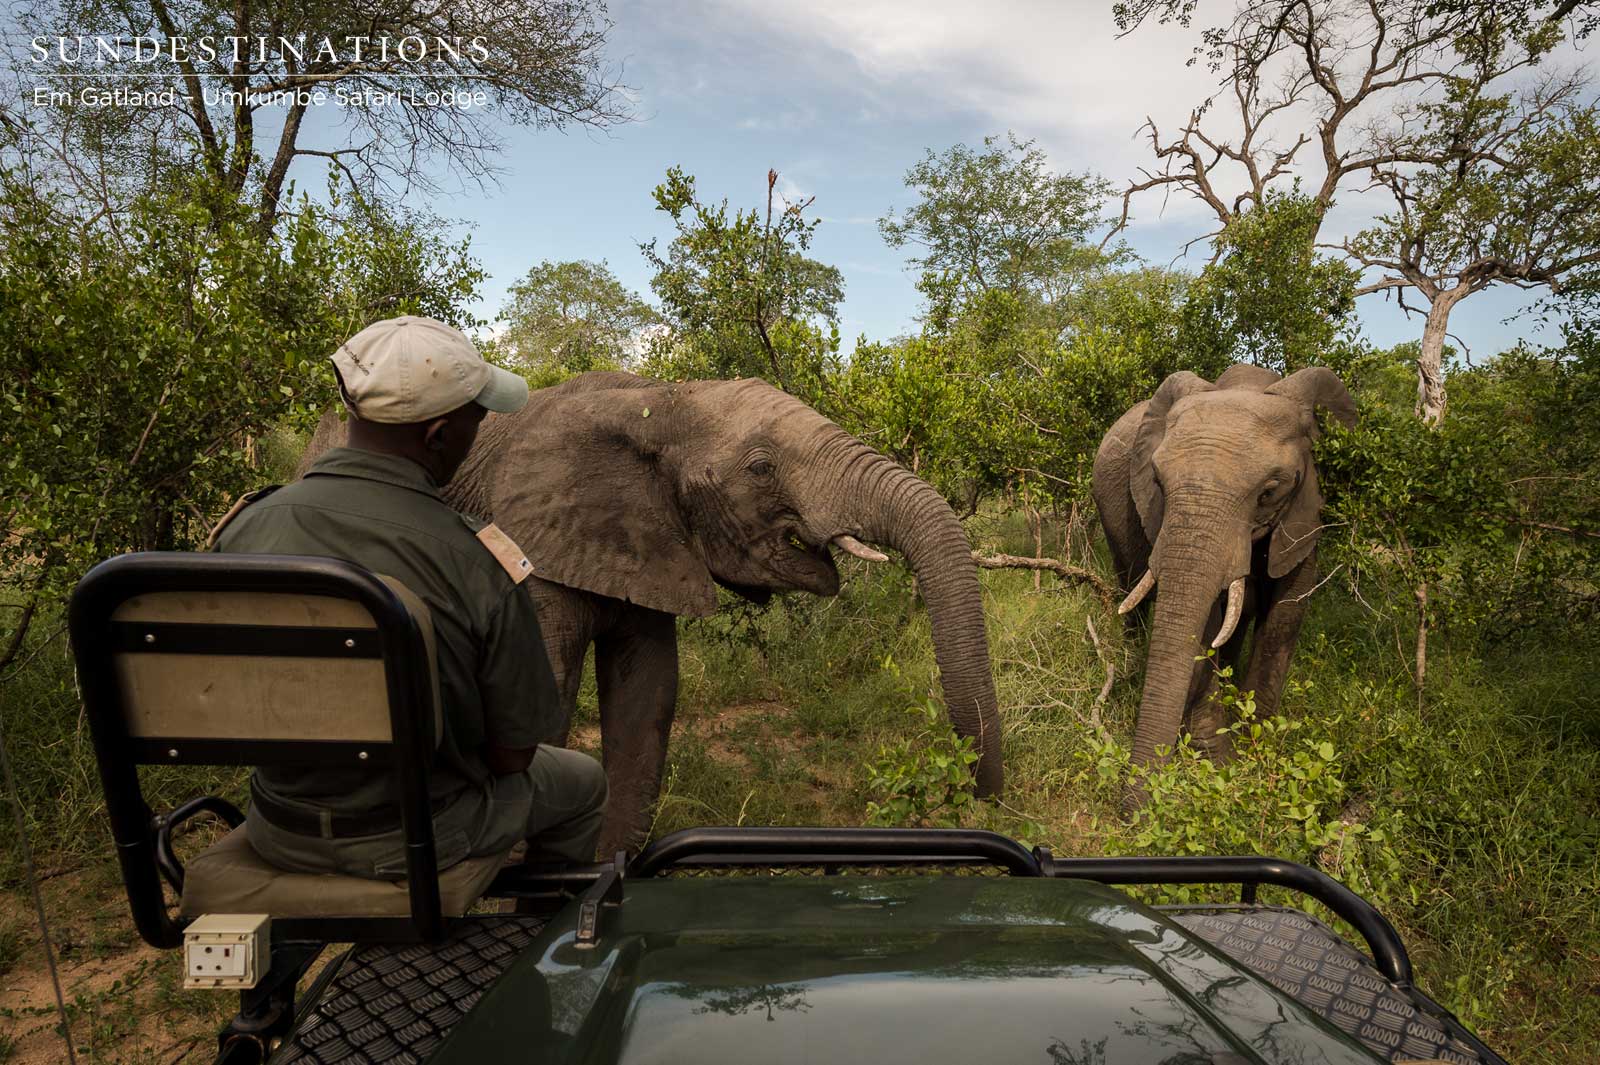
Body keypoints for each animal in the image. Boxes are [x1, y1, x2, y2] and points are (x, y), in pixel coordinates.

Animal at [302, 371, 1002, 854]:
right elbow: (544, 700)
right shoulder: (530, 547)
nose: (983, 801)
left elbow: (648, 691)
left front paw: (605, 867)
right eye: (761, 467)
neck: (664, 402)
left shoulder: (647, 540)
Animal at [1091, 364, 1356, 810]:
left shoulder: (1306, 508)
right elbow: (1206, 619)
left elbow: (1286, 611)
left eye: (1270, 491)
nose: (1130, 814)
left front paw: (1254, 747)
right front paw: (1217, 758)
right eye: (1156, 481)